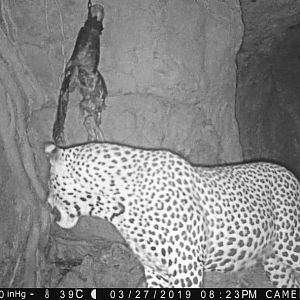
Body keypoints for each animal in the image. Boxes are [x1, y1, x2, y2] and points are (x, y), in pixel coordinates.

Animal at [44, 142, 300, 288]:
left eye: (50, 181)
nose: (46, 203)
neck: (116, 208)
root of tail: (289, 173)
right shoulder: (156, 270)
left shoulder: (186, 267)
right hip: (275, 262)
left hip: (292, 246)